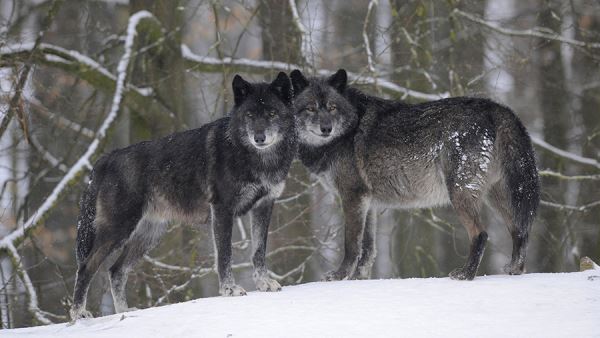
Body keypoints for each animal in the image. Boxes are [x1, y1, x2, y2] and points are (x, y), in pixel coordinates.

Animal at [71, 71, 296, 320]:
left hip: (148, 236)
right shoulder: (222, 210)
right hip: (118, 230)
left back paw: (124, 312)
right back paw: (79, 314)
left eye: (272, 113)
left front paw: (264, 283)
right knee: (86, 267)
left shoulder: (264, 206)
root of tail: (106, 159)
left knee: (116, 271)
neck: (256, 158)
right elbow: (225, 254)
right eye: (249, 115)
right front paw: (229, 289)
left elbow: (259, 251)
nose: (259, 137)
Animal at [290, 68, 540, 280]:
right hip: (497, 196)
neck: (346, 130)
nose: (326, 128)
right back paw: (515, 271)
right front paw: (358, 280)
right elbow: (367, 250)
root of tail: (496, 108)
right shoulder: (368, 202)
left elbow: (352, 244)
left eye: (332, 107)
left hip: (460, 192)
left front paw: (340, 276)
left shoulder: (352, 197)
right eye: (311, 108)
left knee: (481, 234)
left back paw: (465, 275)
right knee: (520, 230)